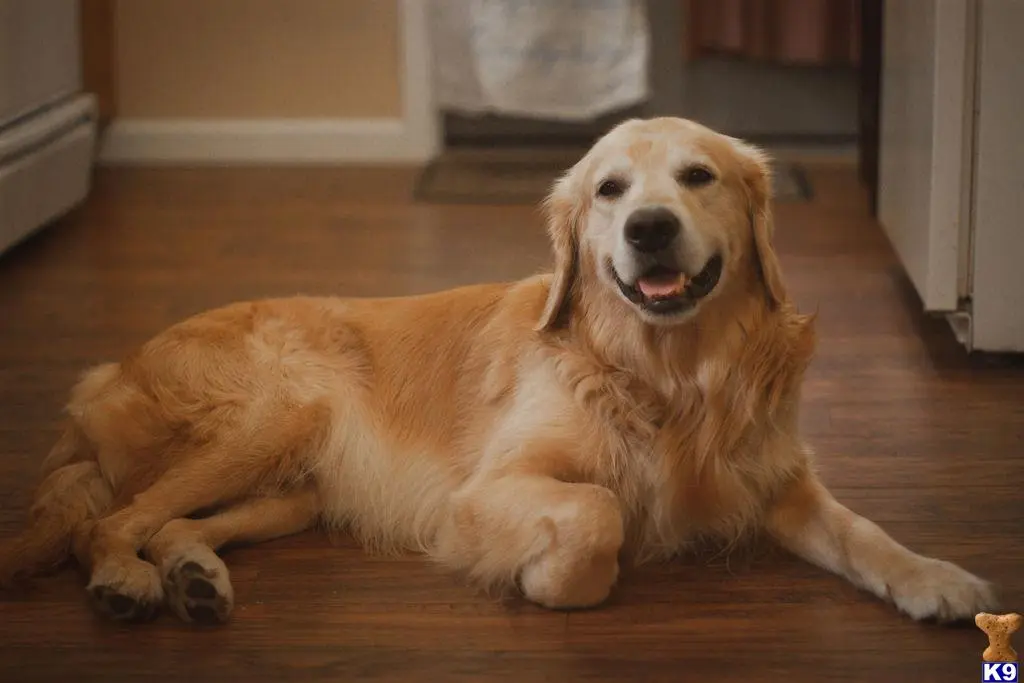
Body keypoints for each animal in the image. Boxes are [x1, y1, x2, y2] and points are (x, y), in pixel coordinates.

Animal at [0, 117, 995, 626]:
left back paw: (192, 576)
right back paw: (127, 581)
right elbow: (597, 513)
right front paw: (550, 579)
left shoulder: (778, 480)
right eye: (609, 191)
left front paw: (937, 577)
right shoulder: (486, 490)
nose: (649, 229)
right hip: (277, 413)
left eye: (698, 177)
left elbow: (864, 532)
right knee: (111, 522)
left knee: (166, 521)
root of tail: (102, 374)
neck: (671, 377)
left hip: (290, 490)